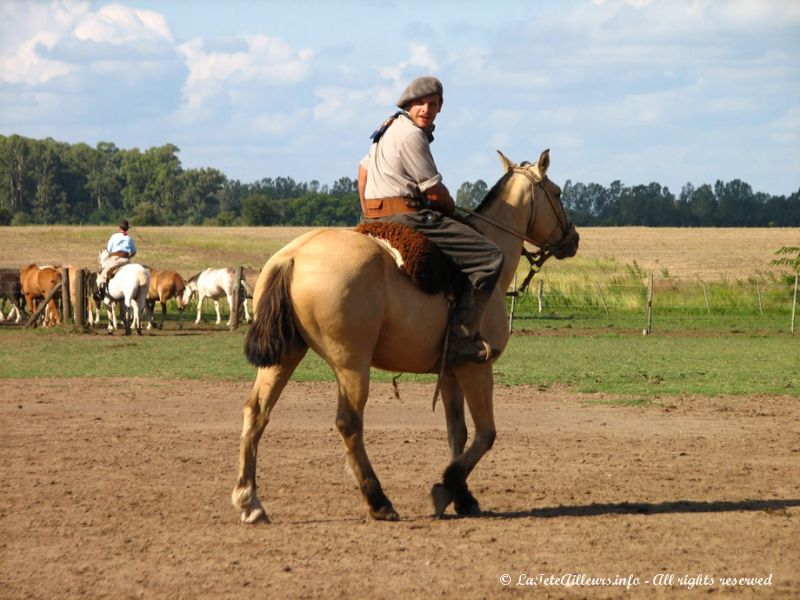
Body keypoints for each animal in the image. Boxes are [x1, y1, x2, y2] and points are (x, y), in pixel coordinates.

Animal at [234, 151, 580, 524]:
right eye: (557, 192)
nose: (573, 238)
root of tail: (294, 255)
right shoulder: (477, 368)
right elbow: (486, 434)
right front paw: (446, 487)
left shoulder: (451, 372)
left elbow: (457, 433)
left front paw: (462, 496)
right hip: (351, 364)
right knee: (348, 423)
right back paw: (378, 500)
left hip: (285, 355)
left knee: (257, 412)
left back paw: (249, 500)